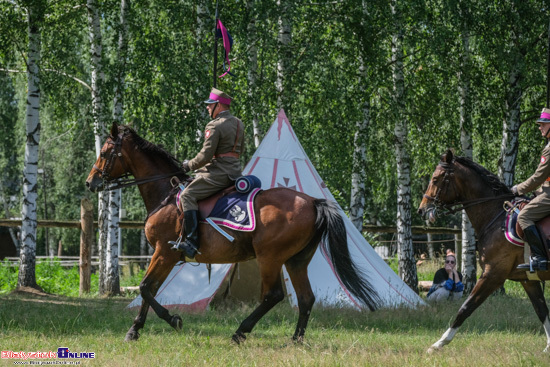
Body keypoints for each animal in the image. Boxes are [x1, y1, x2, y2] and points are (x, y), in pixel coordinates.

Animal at [86, 123, 382, 344]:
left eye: (106, 152)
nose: (91, 182)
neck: (166, 194)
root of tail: (313, 202)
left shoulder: (164, 252)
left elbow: (146, 288)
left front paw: (173, 320)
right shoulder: (167, 256)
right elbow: (151, 289)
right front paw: (135, 330)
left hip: (270, 257)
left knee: (273, 295)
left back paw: (240, 332)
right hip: (296, 260)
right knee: (306, 298)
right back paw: (295, 339)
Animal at [420, 150, 548, 354]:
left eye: (435, 179)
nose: (422, 210)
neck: (495, 217)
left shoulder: (493, 274)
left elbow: (466, 307)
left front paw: (439, 343)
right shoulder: (528, 279)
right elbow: (542, 310)